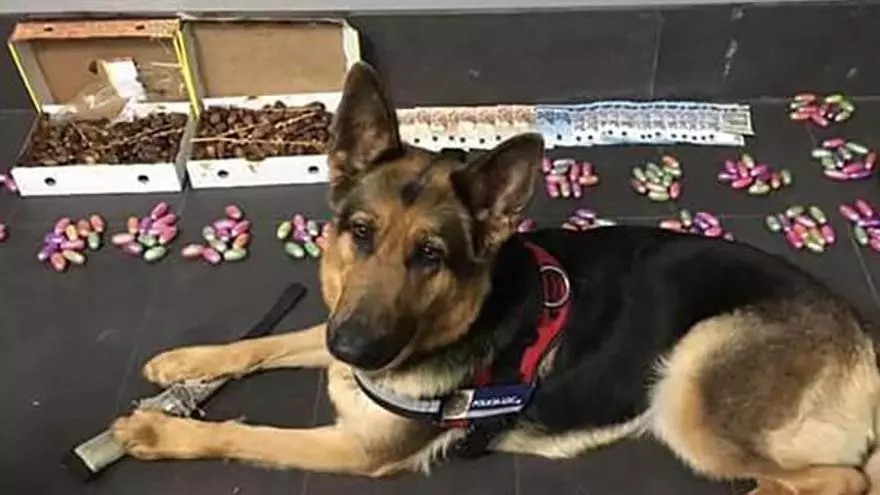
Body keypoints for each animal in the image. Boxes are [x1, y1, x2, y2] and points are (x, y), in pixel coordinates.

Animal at [112, 62, 880, 494]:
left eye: (430, 256)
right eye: (360, 233)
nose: (356, 349)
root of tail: (860, 337)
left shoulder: (355, 448)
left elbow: (249, 435)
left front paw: (158, 432)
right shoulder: (334, 331)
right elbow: (271, 341)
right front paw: (186, 362)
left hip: (690, 386)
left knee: (842, 478)